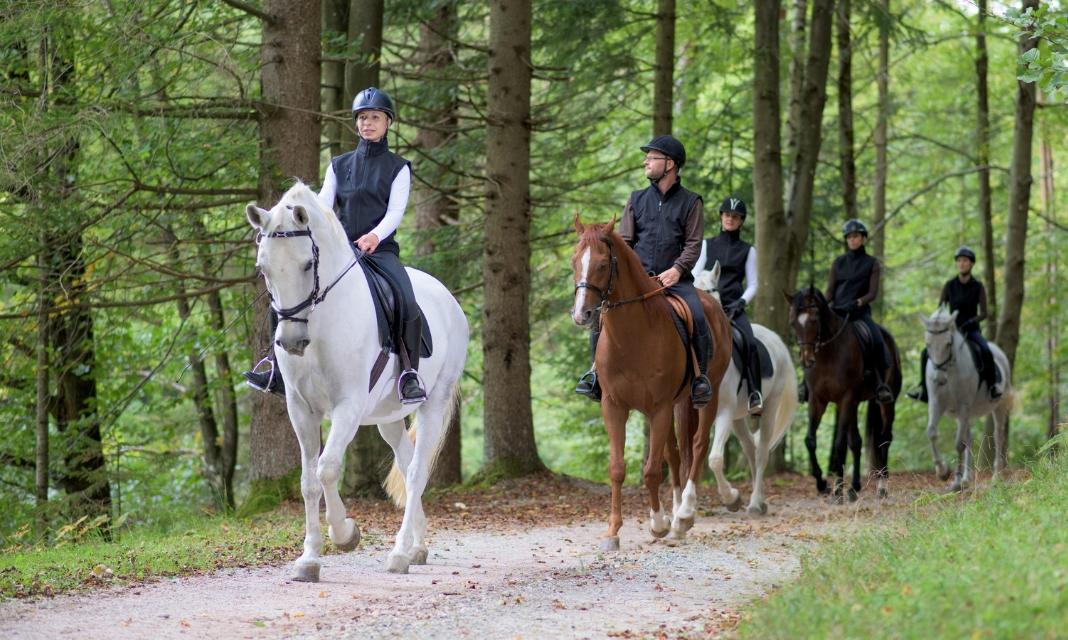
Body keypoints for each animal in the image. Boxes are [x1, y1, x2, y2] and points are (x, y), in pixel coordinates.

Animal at [249, 181, 472, 581]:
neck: (321, 320)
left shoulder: (348, 407)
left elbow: (327, 469)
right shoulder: (300, 409)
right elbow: (308, 481)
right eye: (264, 268)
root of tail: (448, 298)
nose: (292, 342)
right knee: (406, 462)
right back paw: (417, 547)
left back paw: (399, 554)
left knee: (416, 472)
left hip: (433, 403)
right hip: (388, 418)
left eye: (308, 264)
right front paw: (309, 559)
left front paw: (345, 533)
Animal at [572, 219, 730, 551]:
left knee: (698, 446)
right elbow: (618, 469)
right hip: (677, 404)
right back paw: (677, 514)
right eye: (574, 261)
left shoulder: (658, 408)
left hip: (707, 396)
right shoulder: (614, 406)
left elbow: (652, 471)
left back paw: (684, 515)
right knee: (677, 452)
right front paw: (613, 531)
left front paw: (658, 524)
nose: (582, 315)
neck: (632, 336)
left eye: (603, 264)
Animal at [696, 260, 798, 514]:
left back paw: (754, 504)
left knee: (761, 452)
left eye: (712, 290)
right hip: (738, 417)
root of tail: (777, 341)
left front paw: (731, 498)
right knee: (750, 448)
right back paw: (759, 501)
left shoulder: (723, 412)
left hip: (768, 408)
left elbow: (714, 459)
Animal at [786, 288, 901, 504]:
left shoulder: (845, 398)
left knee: (884, 438)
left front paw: (837, 490)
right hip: (854, 405)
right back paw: (854, 488)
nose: (807, 360)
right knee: (856, 442)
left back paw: (882, 487)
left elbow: (839, 445)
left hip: (886, 403)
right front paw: (822, 484)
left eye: (814, 319)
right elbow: (811, 440)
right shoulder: (817, 400)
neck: (828, 353)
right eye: (792, 322)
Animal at [918, 307, 1008, 493]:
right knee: (969, 438)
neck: (950, 372)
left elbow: (959, 444)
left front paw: (956, 481)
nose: (939, 379)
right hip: (967, 414)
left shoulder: (963, 407)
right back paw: (967, 479)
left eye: (948, 344)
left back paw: (996, 477)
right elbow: (931, 432)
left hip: (998, 406)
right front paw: (942, 472)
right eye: (928, 344)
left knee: (998, 436)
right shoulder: (936, 404)